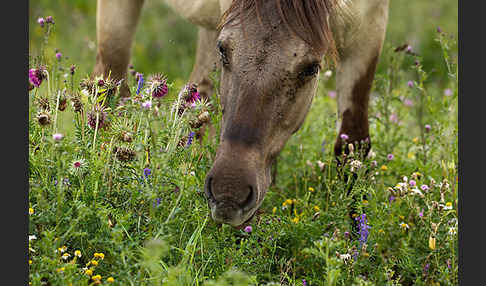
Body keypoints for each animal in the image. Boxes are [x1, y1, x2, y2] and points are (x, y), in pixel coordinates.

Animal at [94, 0, 392, 228]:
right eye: (224, 50)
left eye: (311, 68)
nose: (229, 194)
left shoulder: (370, 28)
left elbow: (352, 149)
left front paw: (356, 242)